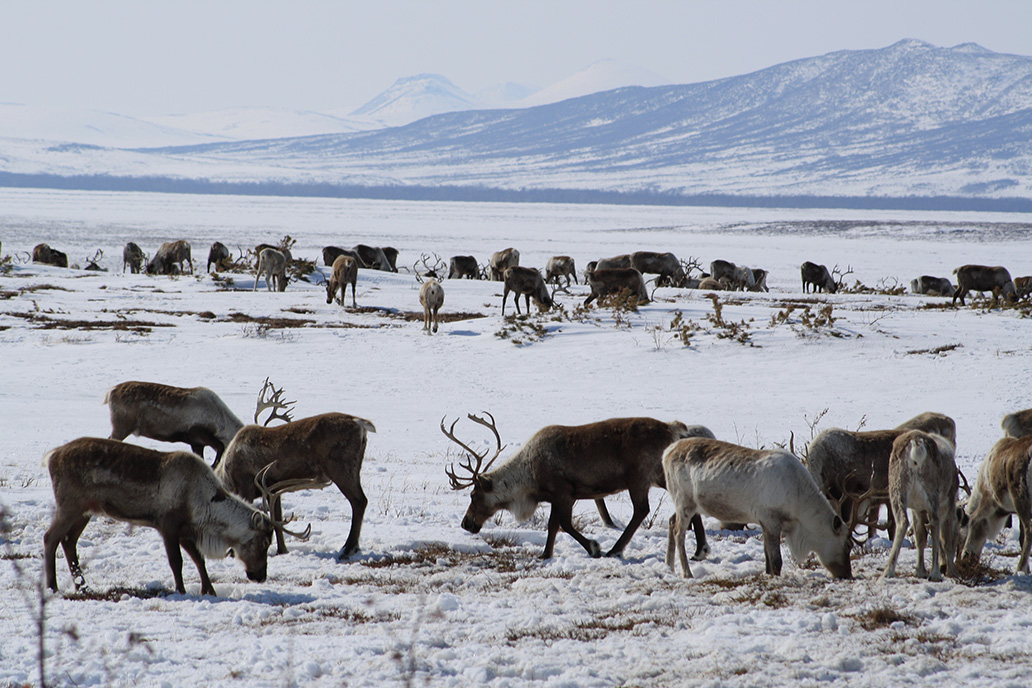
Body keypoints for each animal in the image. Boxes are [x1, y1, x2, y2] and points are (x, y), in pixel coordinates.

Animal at [44, 437, 275, 596]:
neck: (203, 505)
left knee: (69, 541)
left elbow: (199, 560)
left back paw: (82, 586)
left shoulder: (185, 531)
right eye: (264, 542)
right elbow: (177, 562)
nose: (261, 576)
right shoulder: (168, 524)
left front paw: (209, 590)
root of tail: (51, 456)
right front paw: (181, 591)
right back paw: (52, 586)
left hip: (85, 510)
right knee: (50, 537)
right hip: (69, 505)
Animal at [215, 379, 374, 558]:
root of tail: (360, 423)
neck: (227, 474)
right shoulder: (271, 488)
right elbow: (277, 518)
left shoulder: (247, 484)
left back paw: (348, 548)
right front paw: (282, 550)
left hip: (341, 467)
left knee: (359, 501)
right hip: (353, 467)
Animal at [443, 414, 701, 559]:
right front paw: (545, 554)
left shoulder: (564, 492)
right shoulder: (554, 497)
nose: (465, 523)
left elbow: (563, 524)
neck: (529, 481)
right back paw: (700, 550)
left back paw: (615, 549)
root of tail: (673, 428)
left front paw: (593, 547)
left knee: (641, 510)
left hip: (639, 477)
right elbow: (553, 525)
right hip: (660, 475)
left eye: (473, 495)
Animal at [663, 438, 853, 579]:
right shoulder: (771, 519)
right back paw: (687, 573)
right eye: (847, 545)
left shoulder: (764, 521)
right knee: (678, 533)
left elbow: (767, 557)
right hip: (684, 500)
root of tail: (667, 452)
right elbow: (776, 561)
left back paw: (669, 566)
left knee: (671, 521)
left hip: (685, 503)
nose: (847, 575)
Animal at [879, 430, 960, 581]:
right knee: (935, 523)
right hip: (932, 492)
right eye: (958, 534)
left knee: (902, 522)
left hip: (897, 489)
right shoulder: (949, 501)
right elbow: (945, 538)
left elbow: (920, 536)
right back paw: (935, 573)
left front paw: (920, 571)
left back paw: (888, 571)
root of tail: (916, 444)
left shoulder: (917, 508)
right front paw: (952, 571)